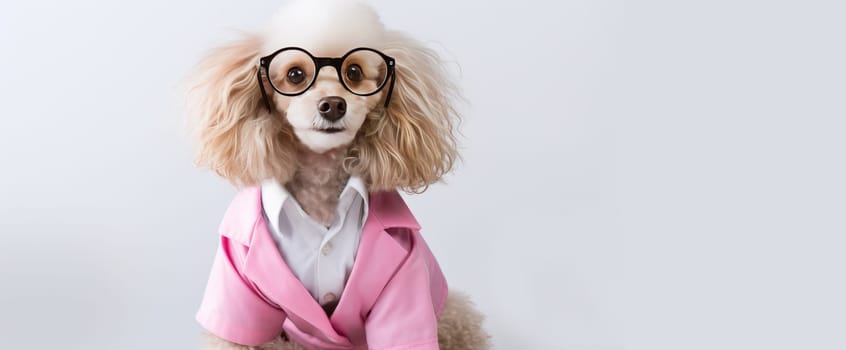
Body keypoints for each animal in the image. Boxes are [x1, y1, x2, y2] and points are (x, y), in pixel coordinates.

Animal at [186, 0, 490, 350]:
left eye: (354, 72)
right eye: (295, 74)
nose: (332, 105)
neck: (320, 189)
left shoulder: (404, 278)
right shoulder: (237, 281)